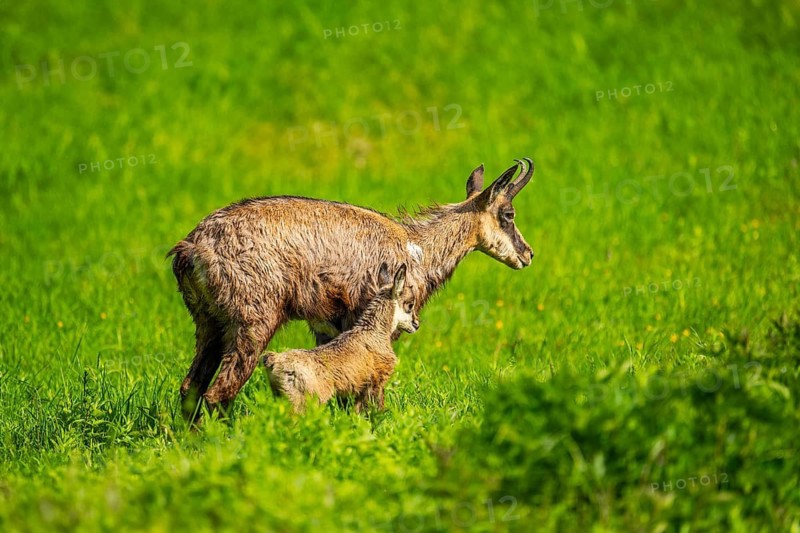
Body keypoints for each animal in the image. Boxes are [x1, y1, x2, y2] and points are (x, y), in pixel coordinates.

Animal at [263, 263, 418, 413]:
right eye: (410, 304)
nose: (416, 324)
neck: (374, 333)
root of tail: (275, 360)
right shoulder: (376, 380)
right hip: (304, 402)